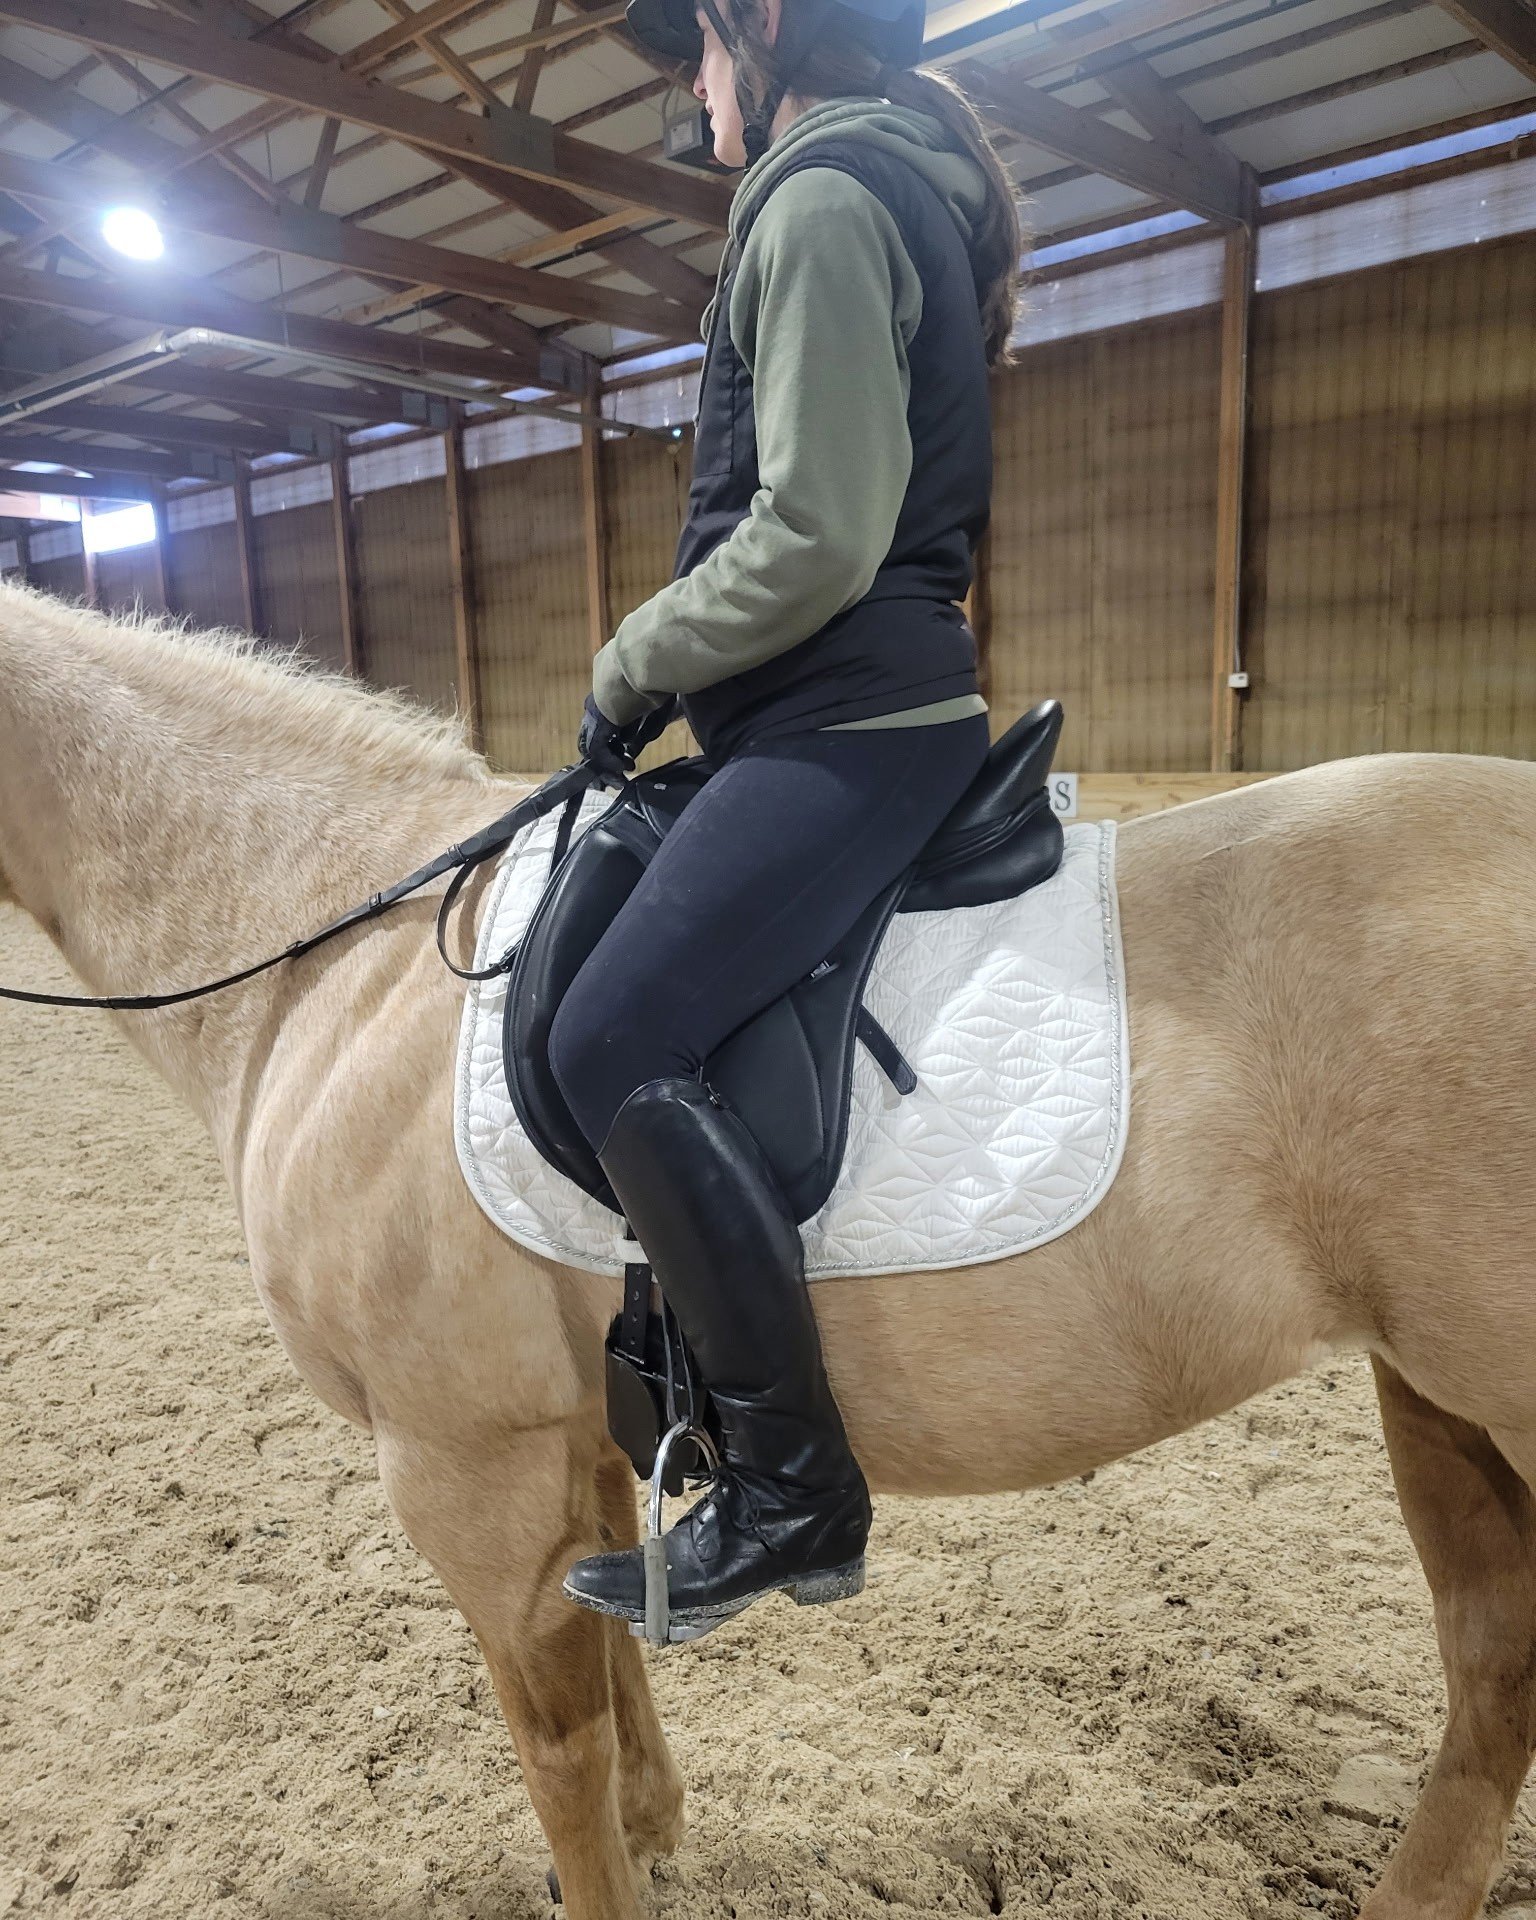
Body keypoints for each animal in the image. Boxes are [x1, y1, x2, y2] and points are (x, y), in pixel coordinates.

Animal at [0, 580, 1532, 1920]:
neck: (336, 964)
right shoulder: (574, 1436)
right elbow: (618, 1664)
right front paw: (657, 1831)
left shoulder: (465, 1466)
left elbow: (559, 1752)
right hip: (1435, 1401)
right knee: (1493, 1670)